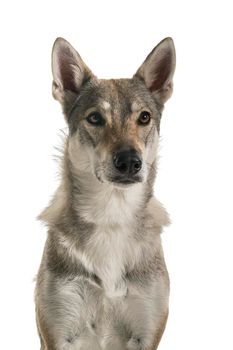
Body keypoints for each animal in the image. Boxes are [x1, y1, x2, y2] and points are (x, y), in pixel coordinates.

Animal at [35, 36, 176, 350]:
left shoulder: (146, 333)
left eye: (144, 117)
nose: (130, 161)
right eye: (96, 118)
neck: (112, 215)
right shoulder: (59, 332)